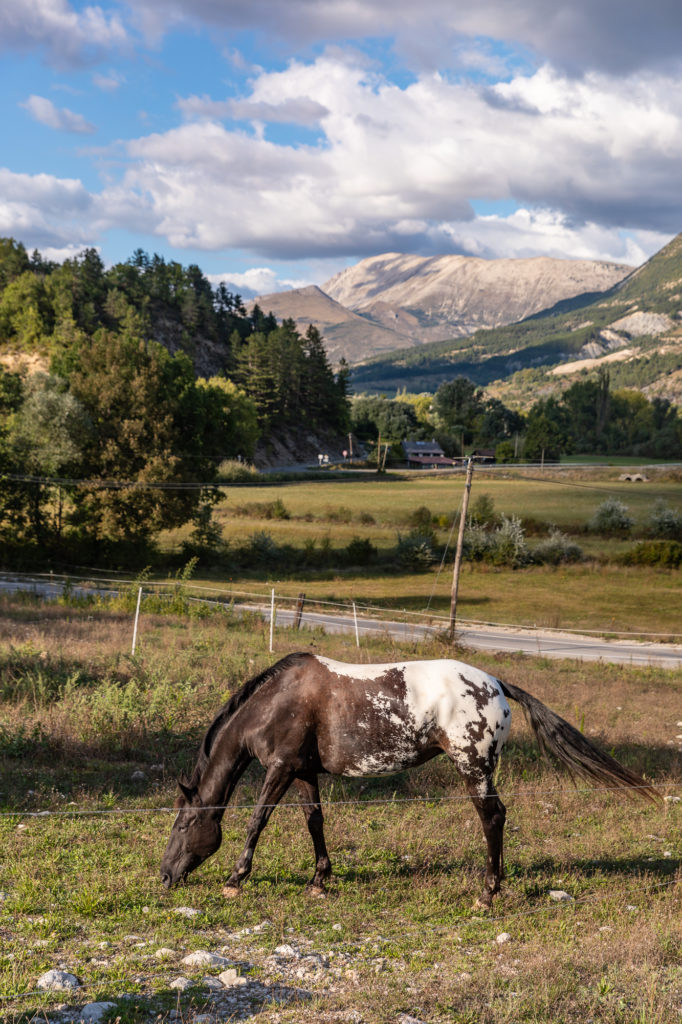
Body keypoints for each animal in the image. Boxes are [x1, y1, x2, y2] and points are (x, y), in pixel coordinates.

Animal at [159, 651, 655, 909]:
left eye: (182, 826)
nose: (164, 876)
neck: (276, 702)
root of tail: (496, 683)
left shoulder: (279, 769)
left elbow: (256, 822)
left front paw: (235, 878)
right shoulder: (302, 771)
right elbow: (314, 822)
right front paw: (319, 881)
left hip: (473, 768)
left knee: (492, 818)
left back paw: (488, 894)